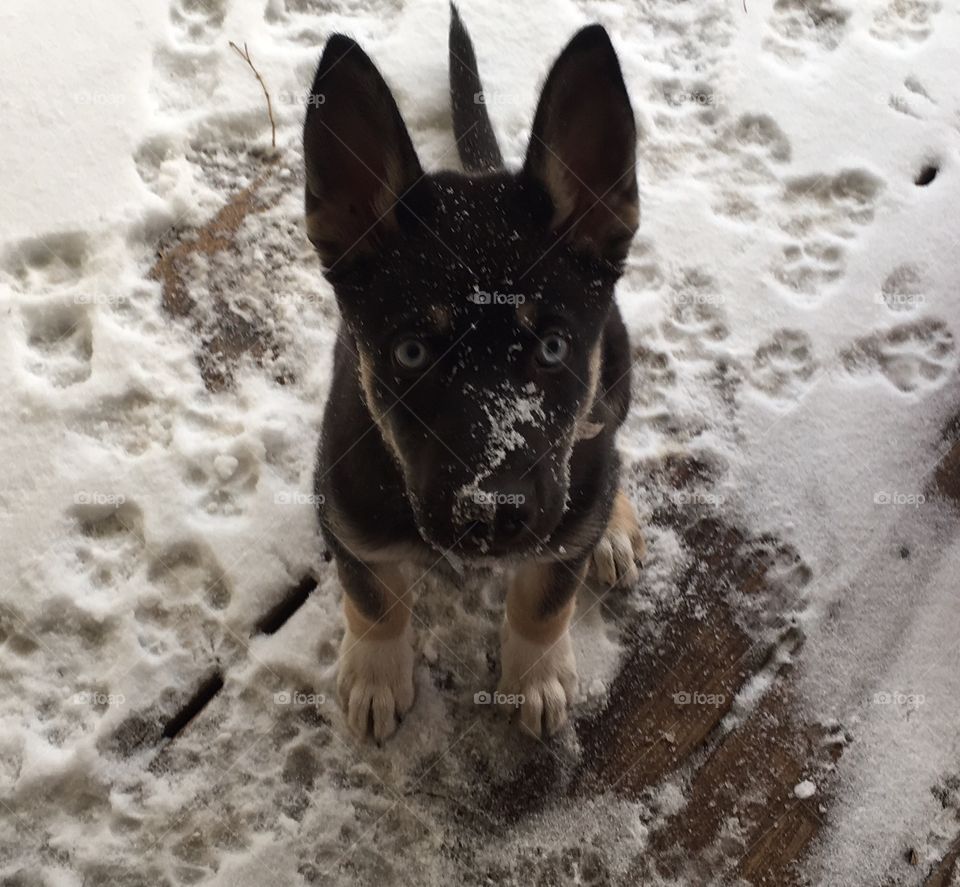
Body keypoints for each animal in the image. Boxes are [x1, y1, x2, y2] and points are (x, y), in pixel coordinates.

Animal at [304, 6, 640, 744]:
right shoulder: (342, 510)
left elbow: (545, 598)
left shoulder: (559, 522)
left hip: (617, 369)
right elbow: (373, 599)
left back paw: (615, 520)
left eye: (552, 347)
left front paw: (535, 674)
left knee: (609, 448)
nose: (493, 510)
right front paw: (376, 673)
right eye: (410, 353)